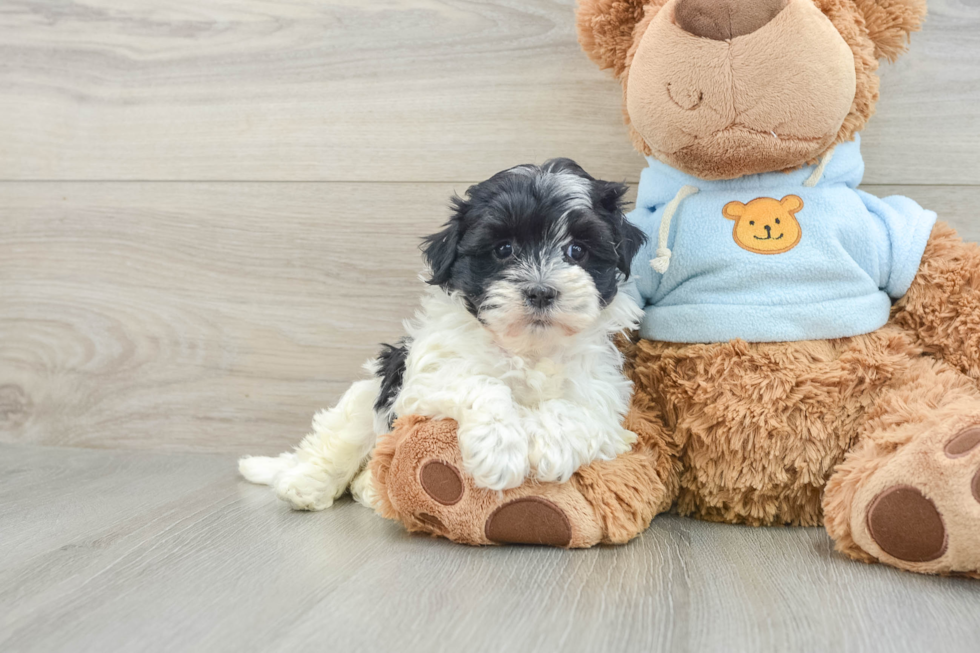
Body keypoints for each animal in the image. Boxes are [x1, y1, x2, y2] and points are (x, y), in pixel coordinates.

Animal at [238, 158, 648, 510]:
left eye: (577, 250)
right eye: (504, 249)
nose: (541, 292)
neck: (527, 348)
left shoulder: (602, 390)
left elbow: (576, 408)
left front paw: (551, 445)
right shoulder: (425, 380)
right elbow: (482, 383)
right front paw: (499, 449)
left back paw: (370, 489)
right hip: (369, 394)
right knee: (337, 441)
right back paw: (305, 485)